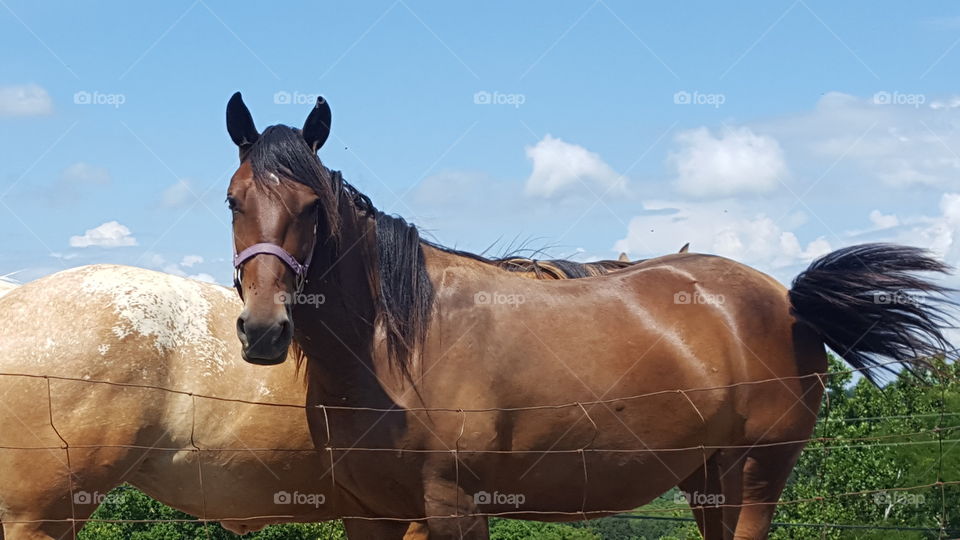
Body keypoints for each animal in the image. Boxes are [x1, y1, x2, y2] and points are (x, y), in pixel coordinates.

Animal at [223, 94, 952, 540]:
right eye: (234, 199)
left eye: (313, 206)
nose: (263, 329)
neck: (395, 349)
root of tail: (790, 300)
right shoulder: (368, 514)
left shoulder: (454, 507)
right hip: (708, 480)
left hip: (755, 475)